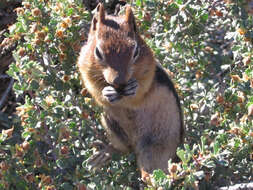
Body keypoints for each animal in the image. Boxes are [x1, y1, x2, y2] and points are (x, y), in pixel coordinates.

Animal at [77, 3, 184, 183]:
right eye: (98, 52)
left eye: (135, 51)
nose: (119, 80)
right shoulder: (85, 67)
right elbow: (94, 88)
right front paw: (106, 91)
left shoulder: (149, 71)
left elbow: (140, 91)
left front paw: (133, 88)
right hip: (111, 124)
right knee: (124, 149)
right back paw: (104, 154)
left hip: (156, 147)